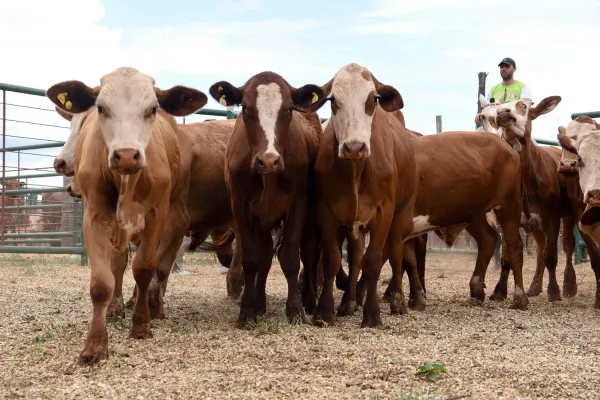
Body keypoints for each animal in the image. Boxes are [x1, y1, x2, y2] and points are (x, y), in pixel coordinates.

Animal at [46, 66, 209, 366]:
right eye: (101, 108)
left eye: (152, 108)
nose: (126, 155)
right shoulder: (95, 216)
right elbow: (103, 280)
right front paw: (95, 346)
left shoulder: (158, 215)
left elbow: (144, 269)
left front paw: (141, 325)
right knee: (119, 266)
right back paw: (117, 307)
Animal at [210, 70, 326, 326]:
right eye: (245, 108)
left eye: (289, 109)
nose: (269, 160)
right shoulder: (241, 207)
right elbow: (252, 259)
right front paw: (247, 310)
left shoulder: (298, 205)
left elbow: (290, 257)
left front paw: (295, 309)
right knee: (263, 257)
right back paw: (260, 302)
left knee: (309, 253)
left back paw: (309, 300)